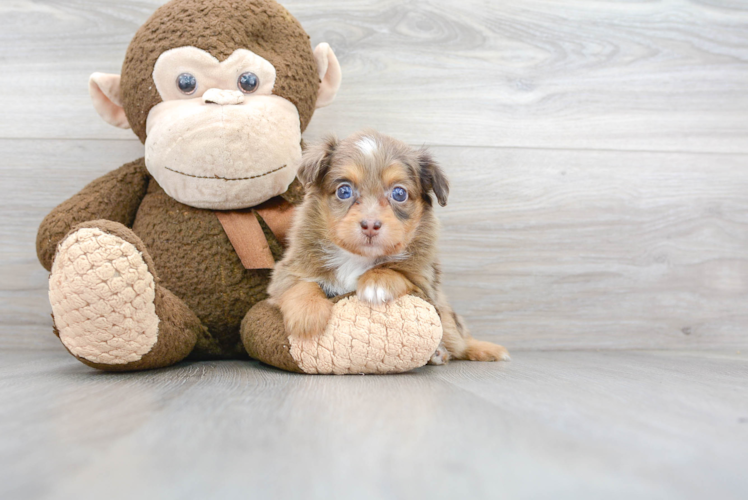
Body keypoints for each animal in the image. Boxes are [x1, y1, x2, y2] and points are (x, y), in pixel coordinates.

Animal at [268, 130, 508, 364]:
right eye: (344, 191)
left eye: (399, 193)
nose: (370, 225)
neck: (357, 258)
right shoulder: (288, 270)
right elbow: (301, 286)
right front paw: (307, 315)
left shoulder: (424, 285)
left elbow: (395, 271)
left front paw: (377, 281)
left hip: (447, 318)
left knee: (458, 338)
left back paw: (479, 350)